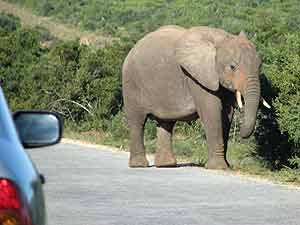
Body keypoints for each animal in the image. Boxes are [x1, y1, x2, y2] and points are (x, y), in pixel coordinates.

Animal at [122, 25, 270, 169]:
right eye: (232, 67)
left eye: (260, 66)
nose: (241, 135)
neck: (220, 40)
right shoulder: (197, 77)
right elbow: (212, 112)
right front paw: (217, 167)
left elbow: (227, 116)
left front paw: (226, 166)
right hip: (131, 82)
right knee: (137, 122)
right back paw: (139, 165)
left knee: (165, 123)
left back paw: (167, 165)